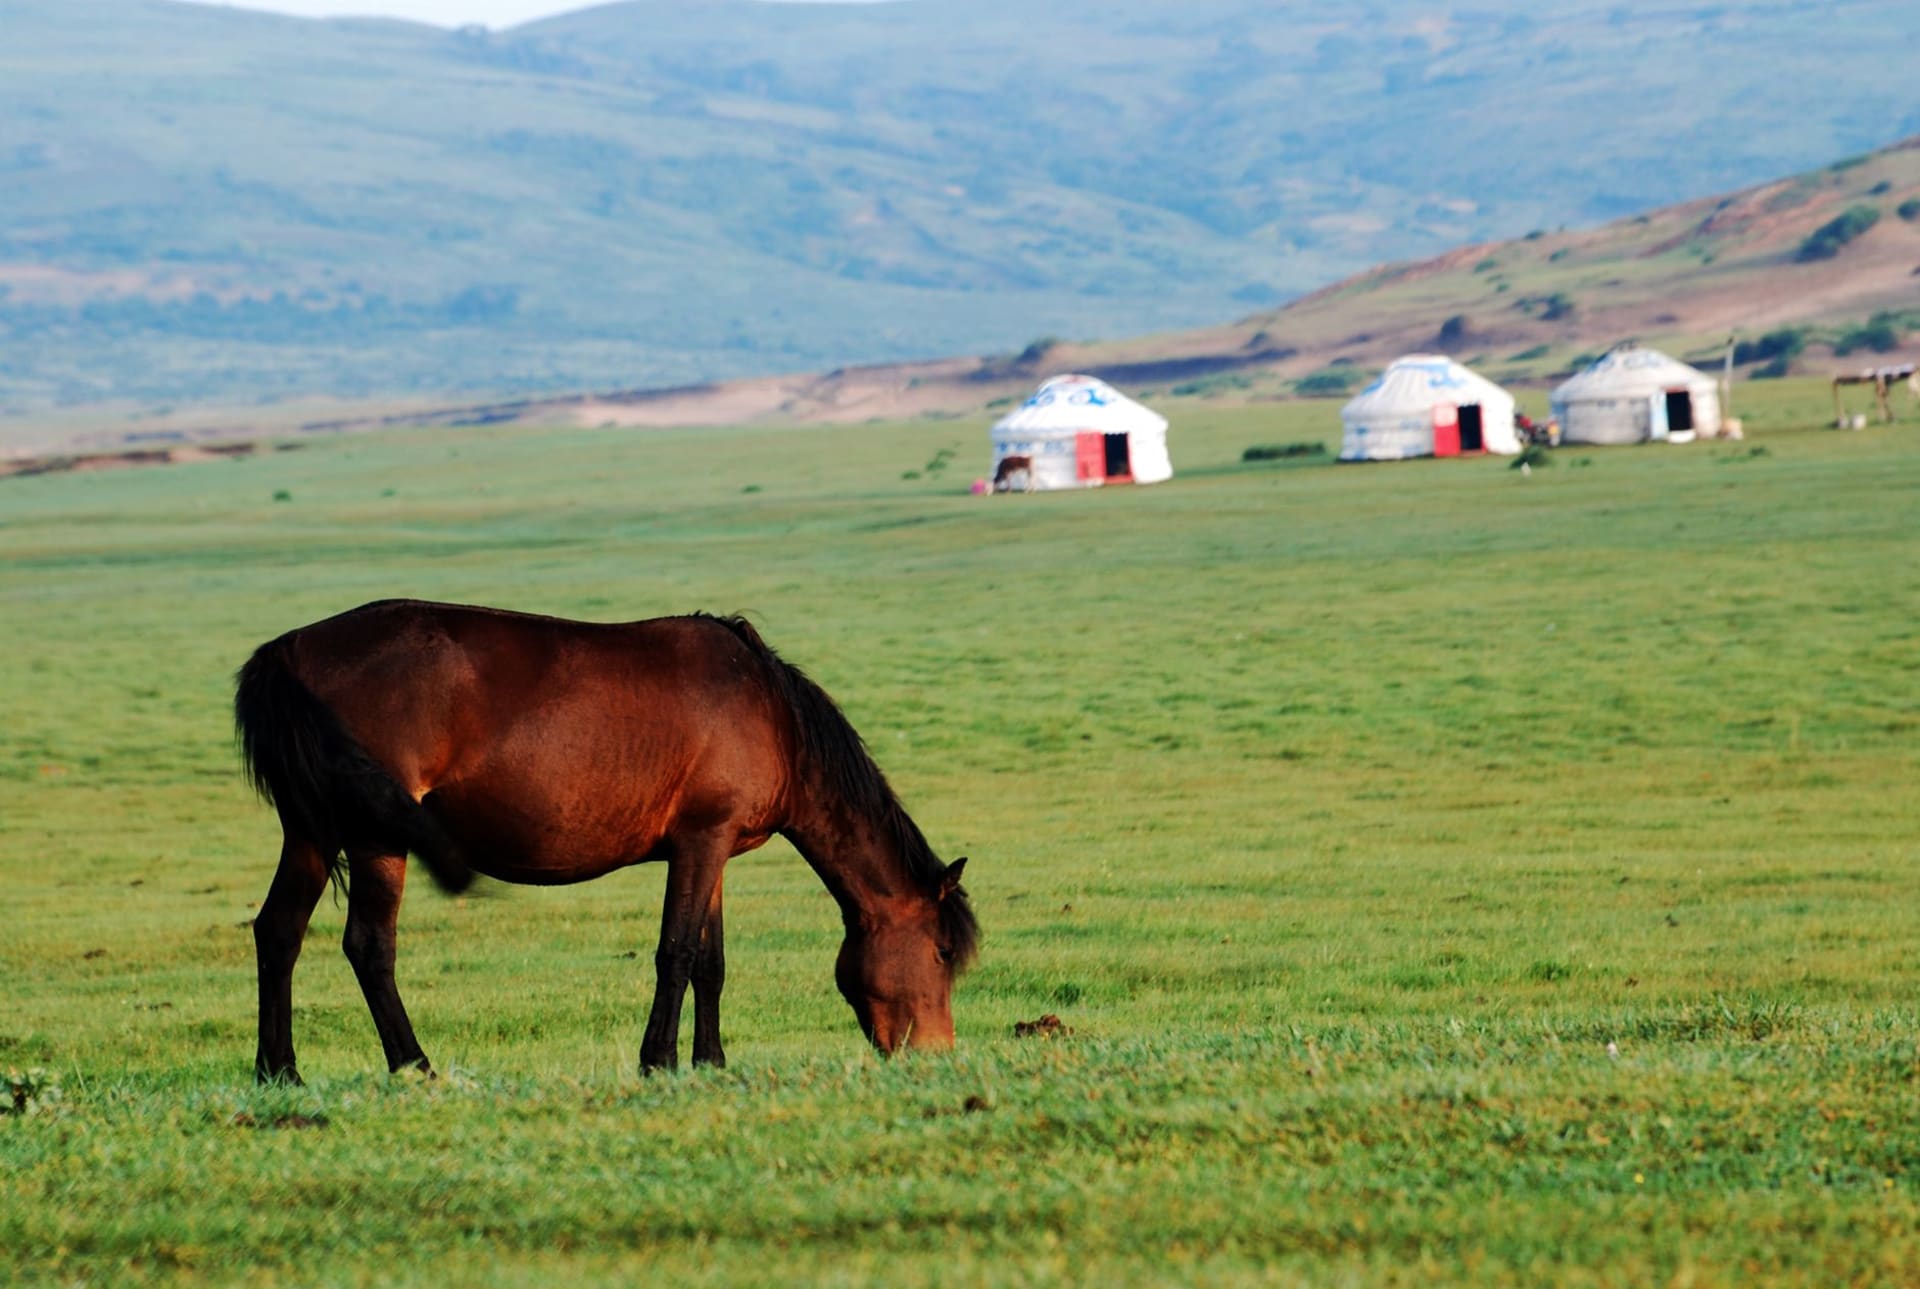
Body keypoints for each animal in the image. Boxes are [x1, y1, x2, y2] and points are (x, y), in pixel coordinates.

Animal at [234, 599, 977, 1082]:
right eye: (942, 952)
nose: (937, 1053)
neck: (771, 712)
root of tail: (288, 652)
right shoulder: (701, 842)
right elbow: (676, 952)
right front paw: (660, 1061)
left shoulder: (712, 850)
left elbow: (711, 962)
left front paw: (710, 1061)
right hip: (372, 838)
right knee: (368, 946)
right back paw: (413, 1063)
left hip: (312, 833)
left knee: (278, 933)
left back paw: (280, 1071)